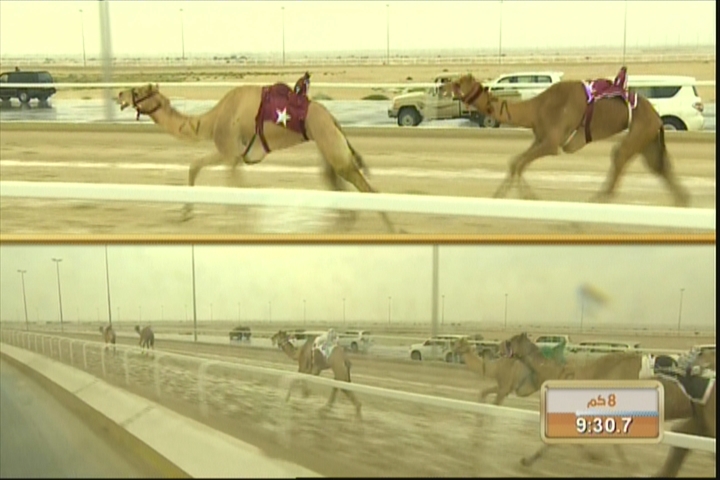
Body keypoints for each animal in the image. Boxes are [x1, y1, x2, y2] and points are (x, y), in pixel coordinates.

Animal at [117, 78, 400, 233]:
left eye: (138, 91)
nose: (119, 94)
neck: (210, 120)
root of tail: (332, 117)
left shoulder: (230, 154)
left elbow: (237, 192)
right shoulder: (231, 153)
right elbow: (195, 166)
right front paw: (185, 213)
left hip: (329, 141)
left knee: (365, 186)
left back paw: (395, 228)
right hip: (326, 144)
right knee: (333, 181)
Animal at [441, 68, 690, 206]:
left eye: (457, 83)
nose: (442, 87)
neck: (536, 108)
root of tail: (656, 116)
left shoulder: (552, 142)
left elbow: (520, 163)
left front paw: (528, 197)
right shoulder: (539, 137)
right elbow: (515, 162)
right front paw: (499, 196)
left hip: (640, 130)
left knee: (619, 156)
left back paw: (595, 203)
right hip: (648, 139)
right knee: (660, 168)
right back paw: (682, 202)